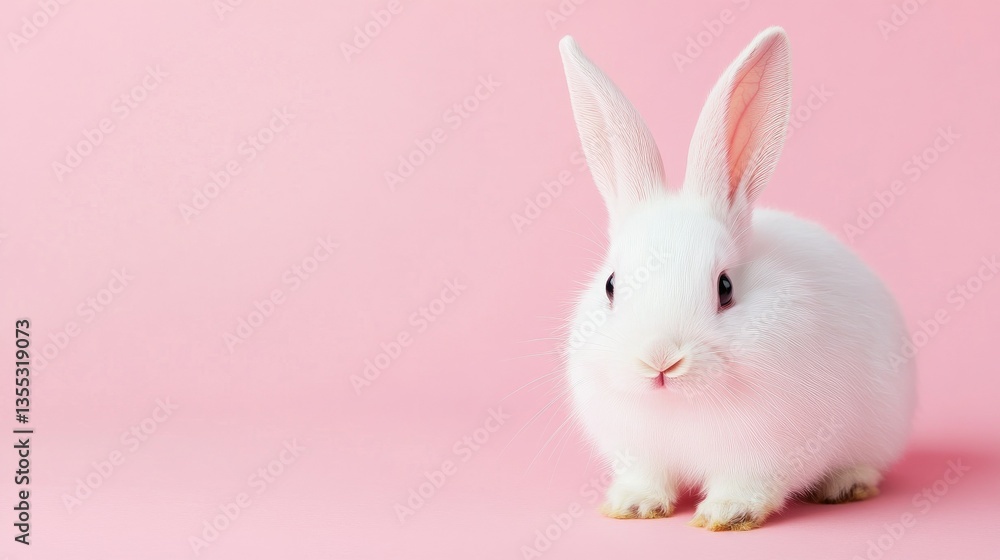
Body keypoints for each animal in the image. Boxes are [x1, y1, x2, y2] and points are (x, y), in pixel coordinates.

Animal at [559, 27, 915, 531]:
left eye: (725, 287)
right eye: (610, 285)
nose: (660, 360)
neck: (683, 406)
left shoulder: (766, 452)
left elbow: (747, 484)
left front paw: (727, 515)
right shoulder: (639, 452)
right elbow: (648, 477)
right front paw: (633, 506)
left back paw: (845, 486)